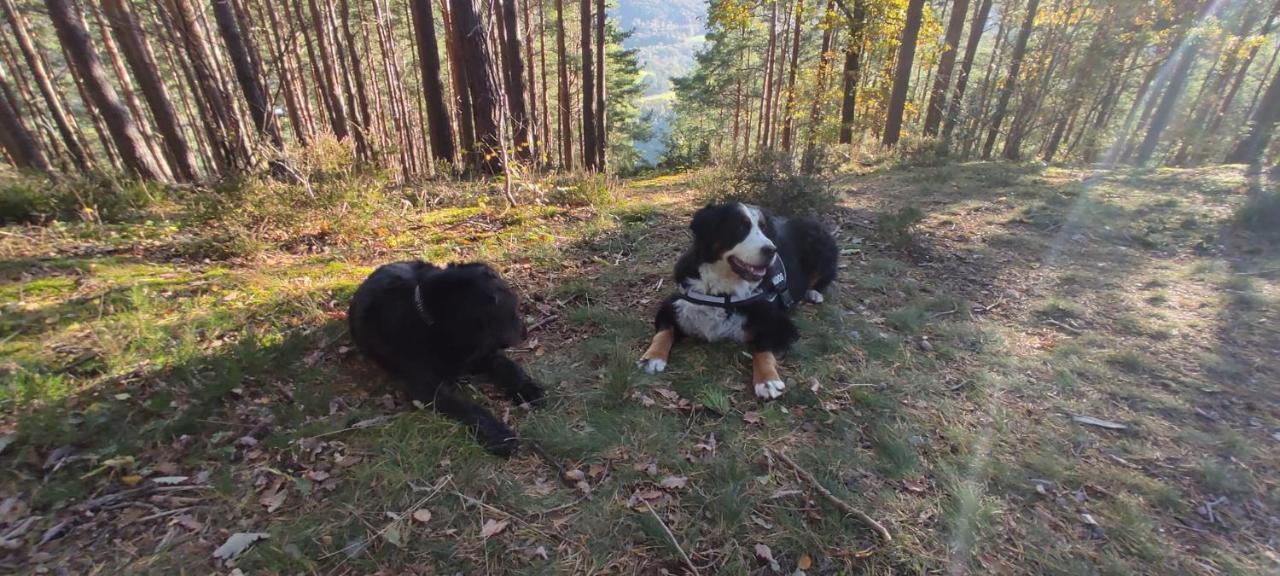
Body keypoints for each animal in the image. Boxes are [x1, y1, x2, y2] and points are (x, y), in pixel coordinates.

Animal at [350, 259, 545, 455]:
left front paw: (528, 388)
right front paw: (499, 434)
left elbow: (508, 366)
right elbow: (469, 407)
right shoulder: (427, 389)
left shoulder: (483, 355)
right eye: (512, 310)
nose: (525, 333)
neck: (432, 322)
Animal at [640, 203, 839, 399]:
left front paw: (767, 380)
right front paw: (652, 357)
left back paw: (814, 293)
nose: (771, 250)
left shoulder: (782, 326)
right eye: (740, 227)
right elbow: (664, 332)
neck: (722, 293)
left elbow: (762, 348)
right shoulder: (673, 305)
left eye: (764, 229)